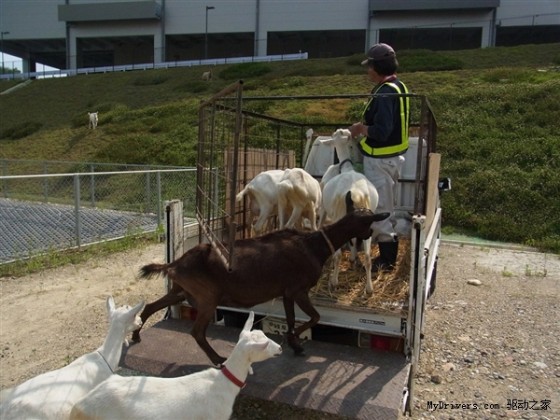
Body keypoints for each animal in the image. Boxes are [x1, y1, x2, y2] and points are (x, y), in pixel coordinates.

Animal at [133, 195, 388, 366]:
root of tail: (175, 264)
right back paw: (218, 358)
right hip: (207, 297)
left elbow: (291, 319)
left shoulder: (286, 292)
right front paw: (294, 341)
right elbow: (314, 317)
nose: (369, 235)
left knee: (151, 306)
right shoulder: (298, 289)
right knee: (196, 331)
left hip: (181, 290)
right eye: (369, 222)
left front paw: (294, 343)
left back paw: (135, 335)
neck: (314, 245)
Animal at [320, 128, 380, 296]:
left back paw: (333, 282)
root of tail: (355, 193)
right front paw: (353, 259)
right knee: (368, 256)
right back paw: (369, 288)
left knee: (338, 255)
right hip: (367, 223)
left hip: (338, 216)